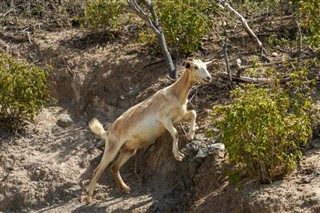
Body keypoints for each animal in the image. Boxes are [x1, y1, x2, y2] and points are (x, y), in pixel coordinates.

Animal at [84, 58, 212, 205]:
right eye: (195, 67)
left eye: (205, 66)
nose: (208, 78)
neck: (175, 94)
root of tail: (107, 132)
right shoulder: (164, 119)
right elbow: (175, 133)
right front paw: (178, 155)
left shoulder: (179, 117)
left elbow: (193, 113)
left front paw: (191, 135)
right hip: (112, 148)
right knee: (98, 170)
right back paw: (88, 198)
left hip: (128, 150)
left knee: (114, 167)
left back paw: (126, 188)